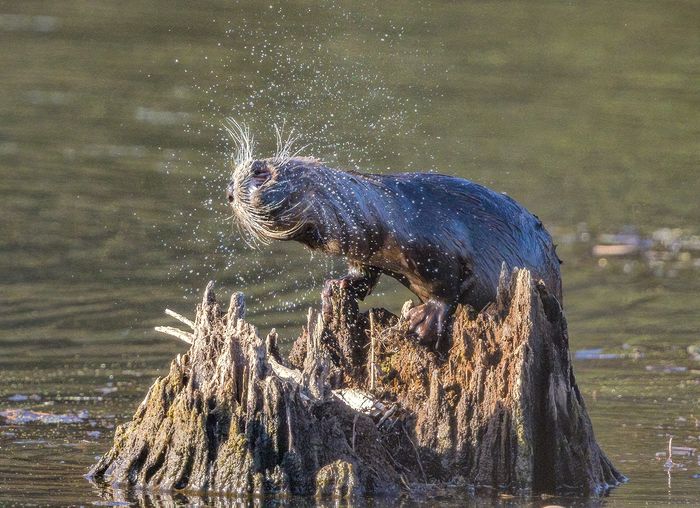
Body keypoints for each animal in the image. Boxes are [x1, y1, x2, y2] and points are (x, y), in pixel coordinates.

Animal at [226, 124, 564, 346]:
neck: (384, 214)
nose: (229, 190)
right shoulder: (364, 251)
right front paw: (336, 287)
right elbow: (363, 274)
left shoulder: (438, 245)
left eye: (259, 172)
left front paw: (423, 321)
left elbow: (448, 286)